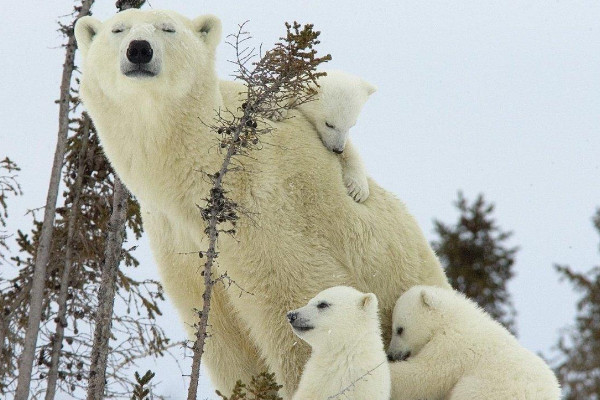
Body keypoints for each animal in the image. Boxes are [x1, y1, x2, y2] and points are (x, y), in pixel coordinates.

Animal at [75, 8, 450, 396]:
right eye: (118, 29)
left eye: (168, 28)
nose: (139, 50)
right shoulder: (177, 239)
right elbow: (223, 339)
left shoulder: (270, 211)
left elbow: (298, 312)